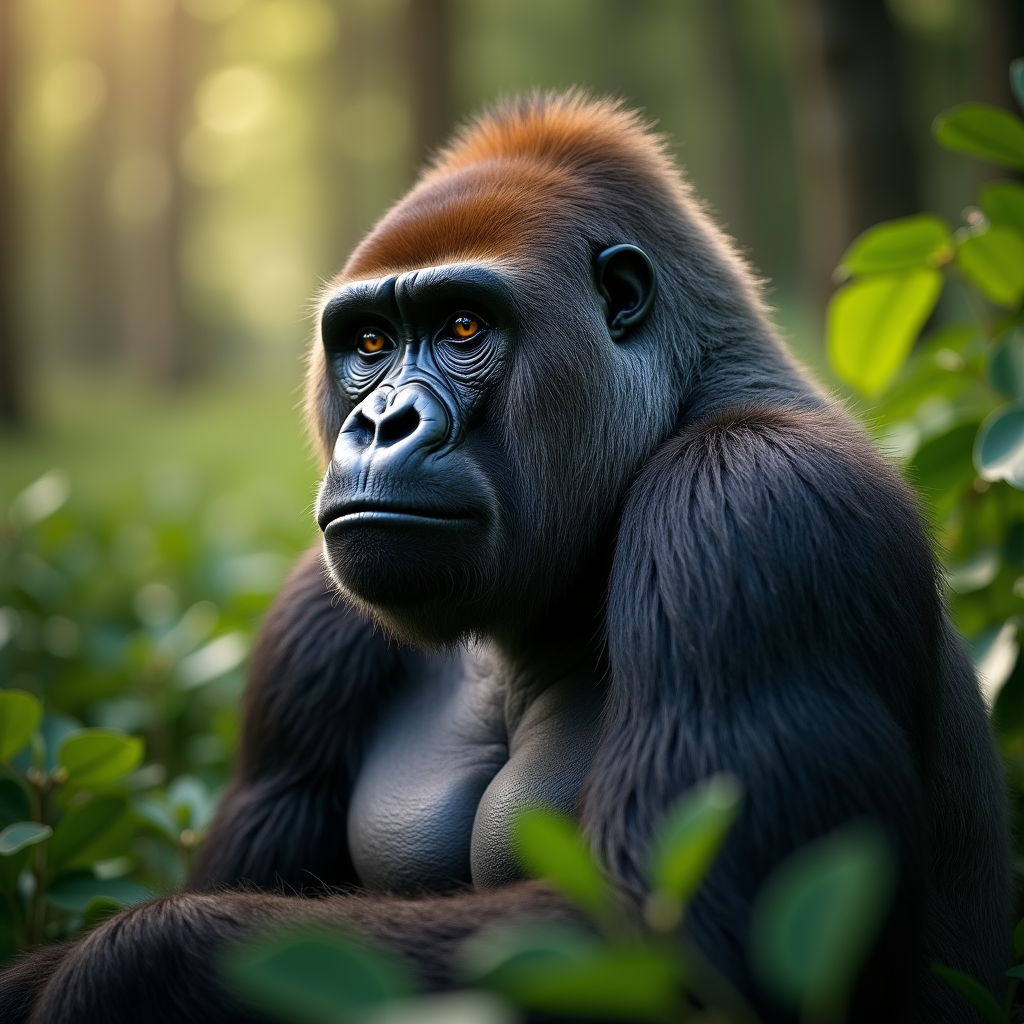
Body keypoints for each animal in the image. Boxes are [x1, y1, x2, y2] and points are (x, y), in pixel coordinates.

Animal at [0, 92, 1010, 1024]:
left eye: (462, 328)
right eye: (370, 343)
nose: (381, 424)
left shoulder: (758, 505)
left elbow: (676, 945)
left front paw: (112, 968)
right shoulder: (310, 615)